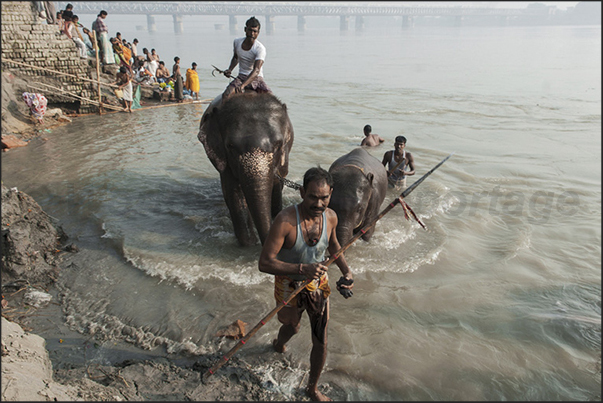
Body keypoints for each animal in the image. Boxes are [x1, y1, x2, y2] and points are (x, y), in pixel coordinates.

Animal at [198, 93, 294, 248]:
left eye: (278, 145)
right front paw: (249, 245)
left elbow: (276, 184)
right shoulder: (225, 159)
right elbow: (234, 192)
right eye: (230, 146)